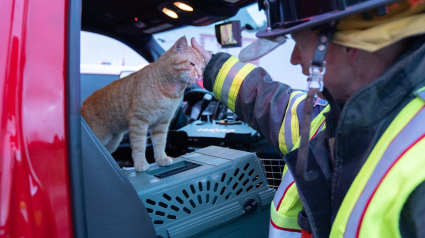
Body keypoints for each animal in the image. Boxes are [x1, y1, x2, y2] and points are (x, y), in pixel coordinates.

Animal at [82, 36, 205, 171]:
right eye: (191, 64)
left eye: (202, 68)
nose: (200, 75)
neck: (170, 92)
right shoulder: (139, 121)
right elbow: (139, 146)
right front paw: (140, 163)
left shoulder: (161, 123)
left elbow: (160, 143)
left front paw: (161, 159)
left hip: (113, 142)